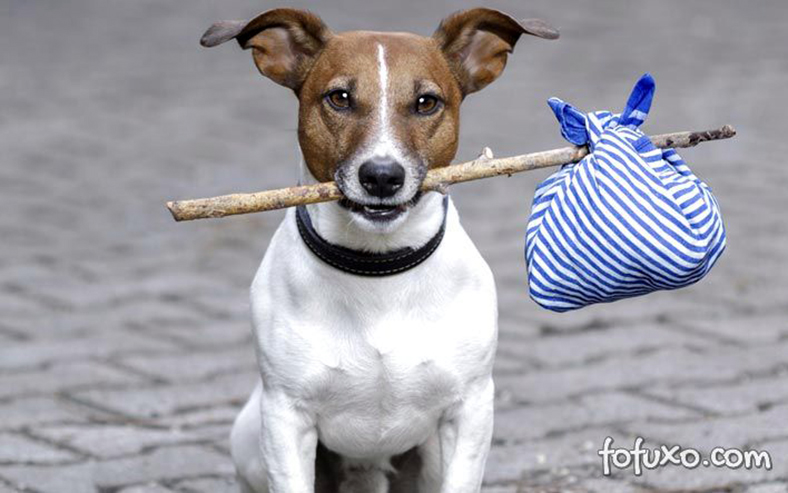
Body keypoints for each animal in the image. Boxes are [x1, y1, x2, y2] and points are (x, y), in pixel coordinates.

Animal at [202, 8, 560, 492]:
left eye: (426, 102)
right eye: (339, 98)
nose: (382, 176)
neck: (378, 268)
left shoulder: (469, 411)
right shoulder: (284, 418)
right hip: (249, 436)